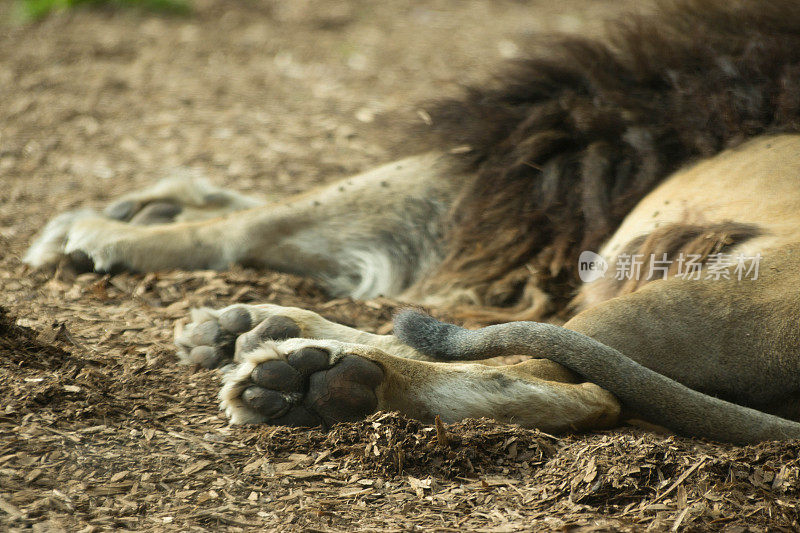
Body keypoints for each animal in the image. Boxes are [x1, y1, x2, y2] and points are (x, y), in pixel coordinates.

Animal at [25, 0, 800, 440]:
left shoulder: (524, 166)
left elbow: (294, 212)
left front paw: (113, 232)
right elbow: (306, 210)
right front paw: (153, 205)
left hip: (706, 297)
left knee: (571, 386)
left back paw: (308, 381)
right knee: (490, 348)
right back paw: (259, 328)